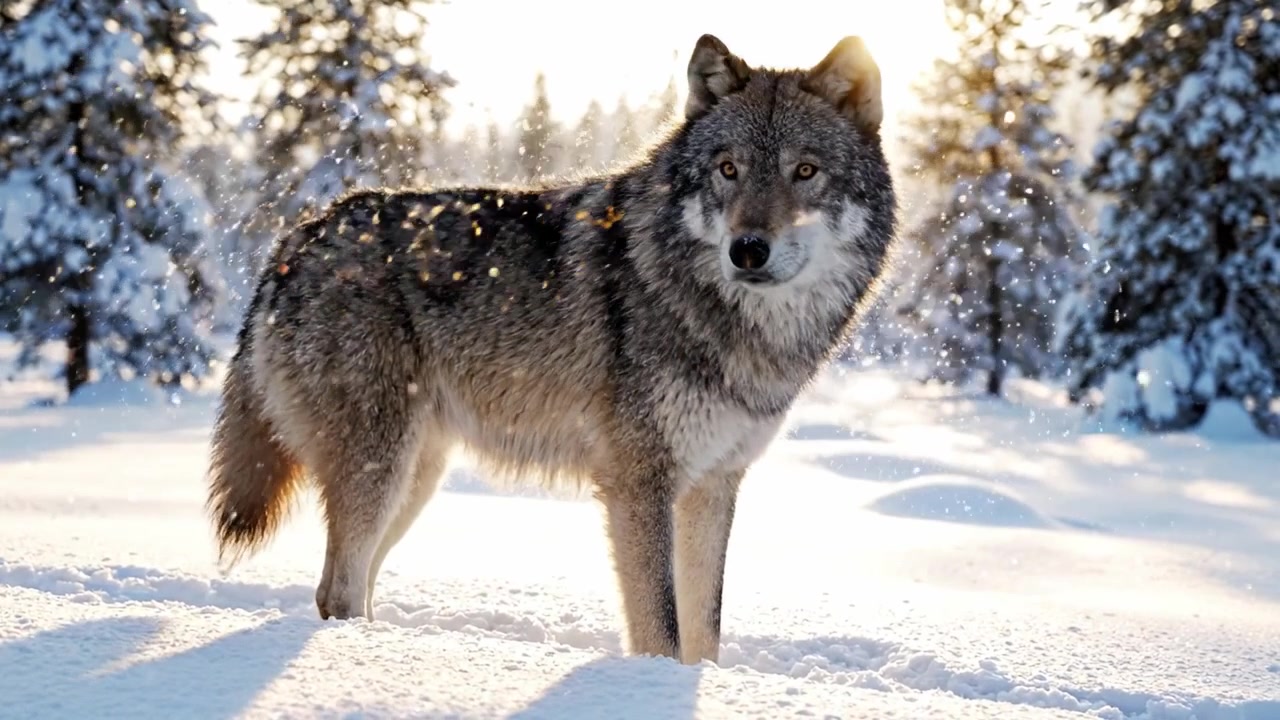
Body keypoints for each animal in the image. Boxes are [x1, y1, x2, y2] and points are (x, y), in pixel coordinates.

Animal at [205, 32, 896, 665]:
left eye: (805, 171)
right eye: (728, 169)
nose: (747, 250)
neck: (733, 325)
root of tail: (297, 237)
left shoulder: (714, 484)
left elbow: (704, 636)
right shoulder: (638, 483)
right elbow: (662, 631)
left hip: (416, 476)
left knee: (353, 584)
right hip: (382, 467)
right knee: (337, 590)